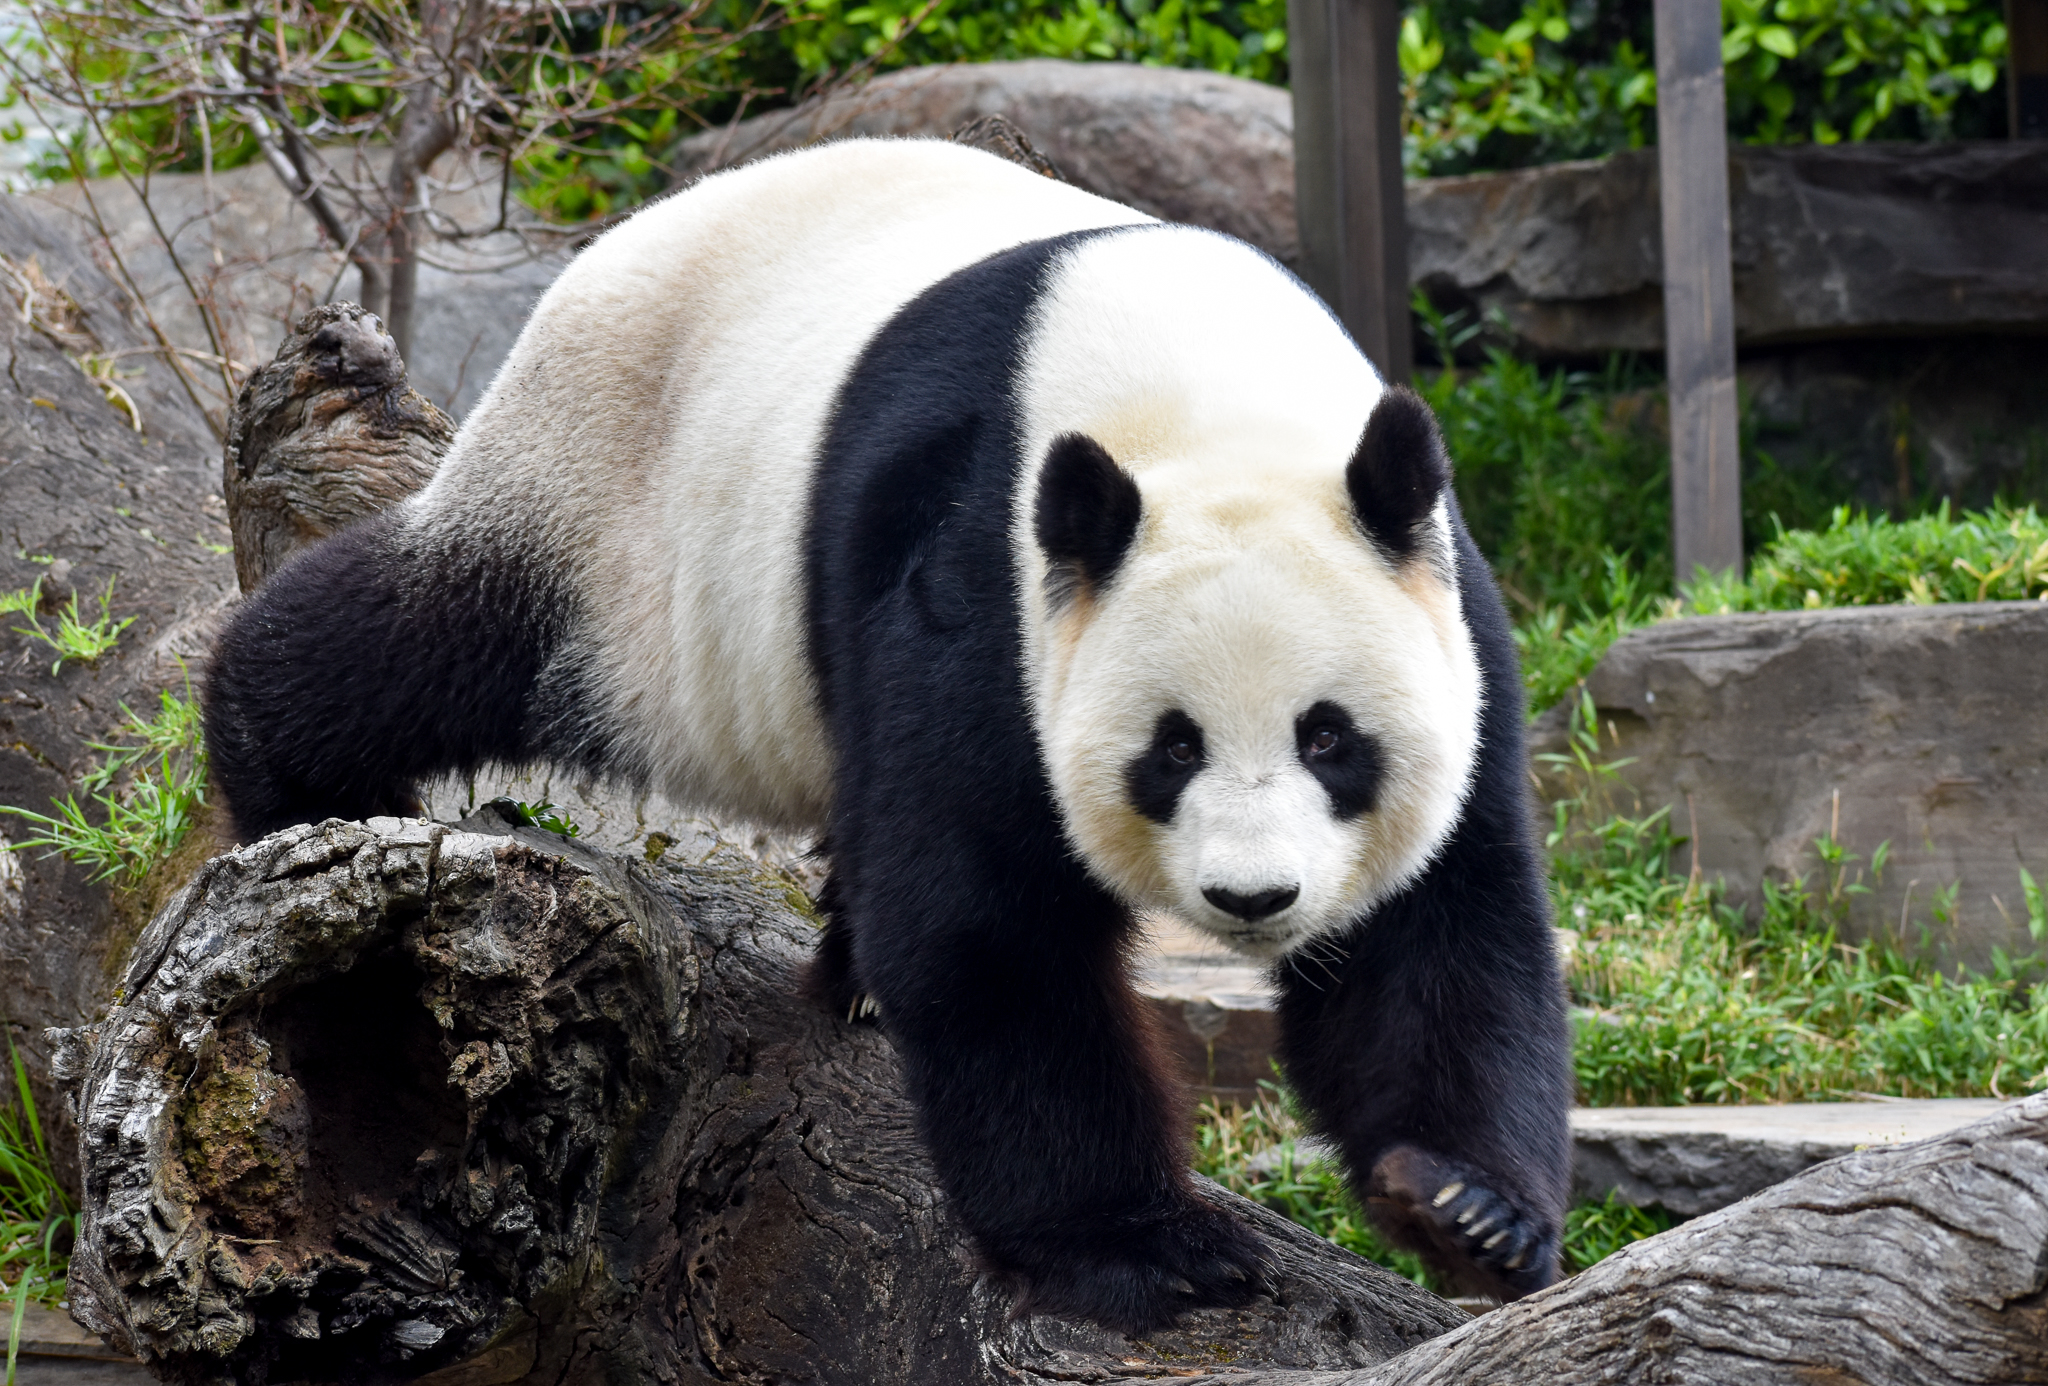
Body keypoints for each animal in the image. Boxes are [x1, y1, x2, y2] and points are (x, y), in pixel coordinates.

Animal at [205, 138, 1573, 1333]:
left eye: (1330, 740)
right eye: (1171, 747)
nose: (1252, 898)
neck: (1209, 399)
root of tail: (614, 245)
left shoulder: (1444, 603)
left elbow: (1443, 918)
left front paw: (1462, 1208)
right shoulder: (982, 571)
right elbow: (985, 916)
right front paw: (1140, 1250)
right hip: (604, 504)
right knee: (432, 637)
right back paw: (277, 767)